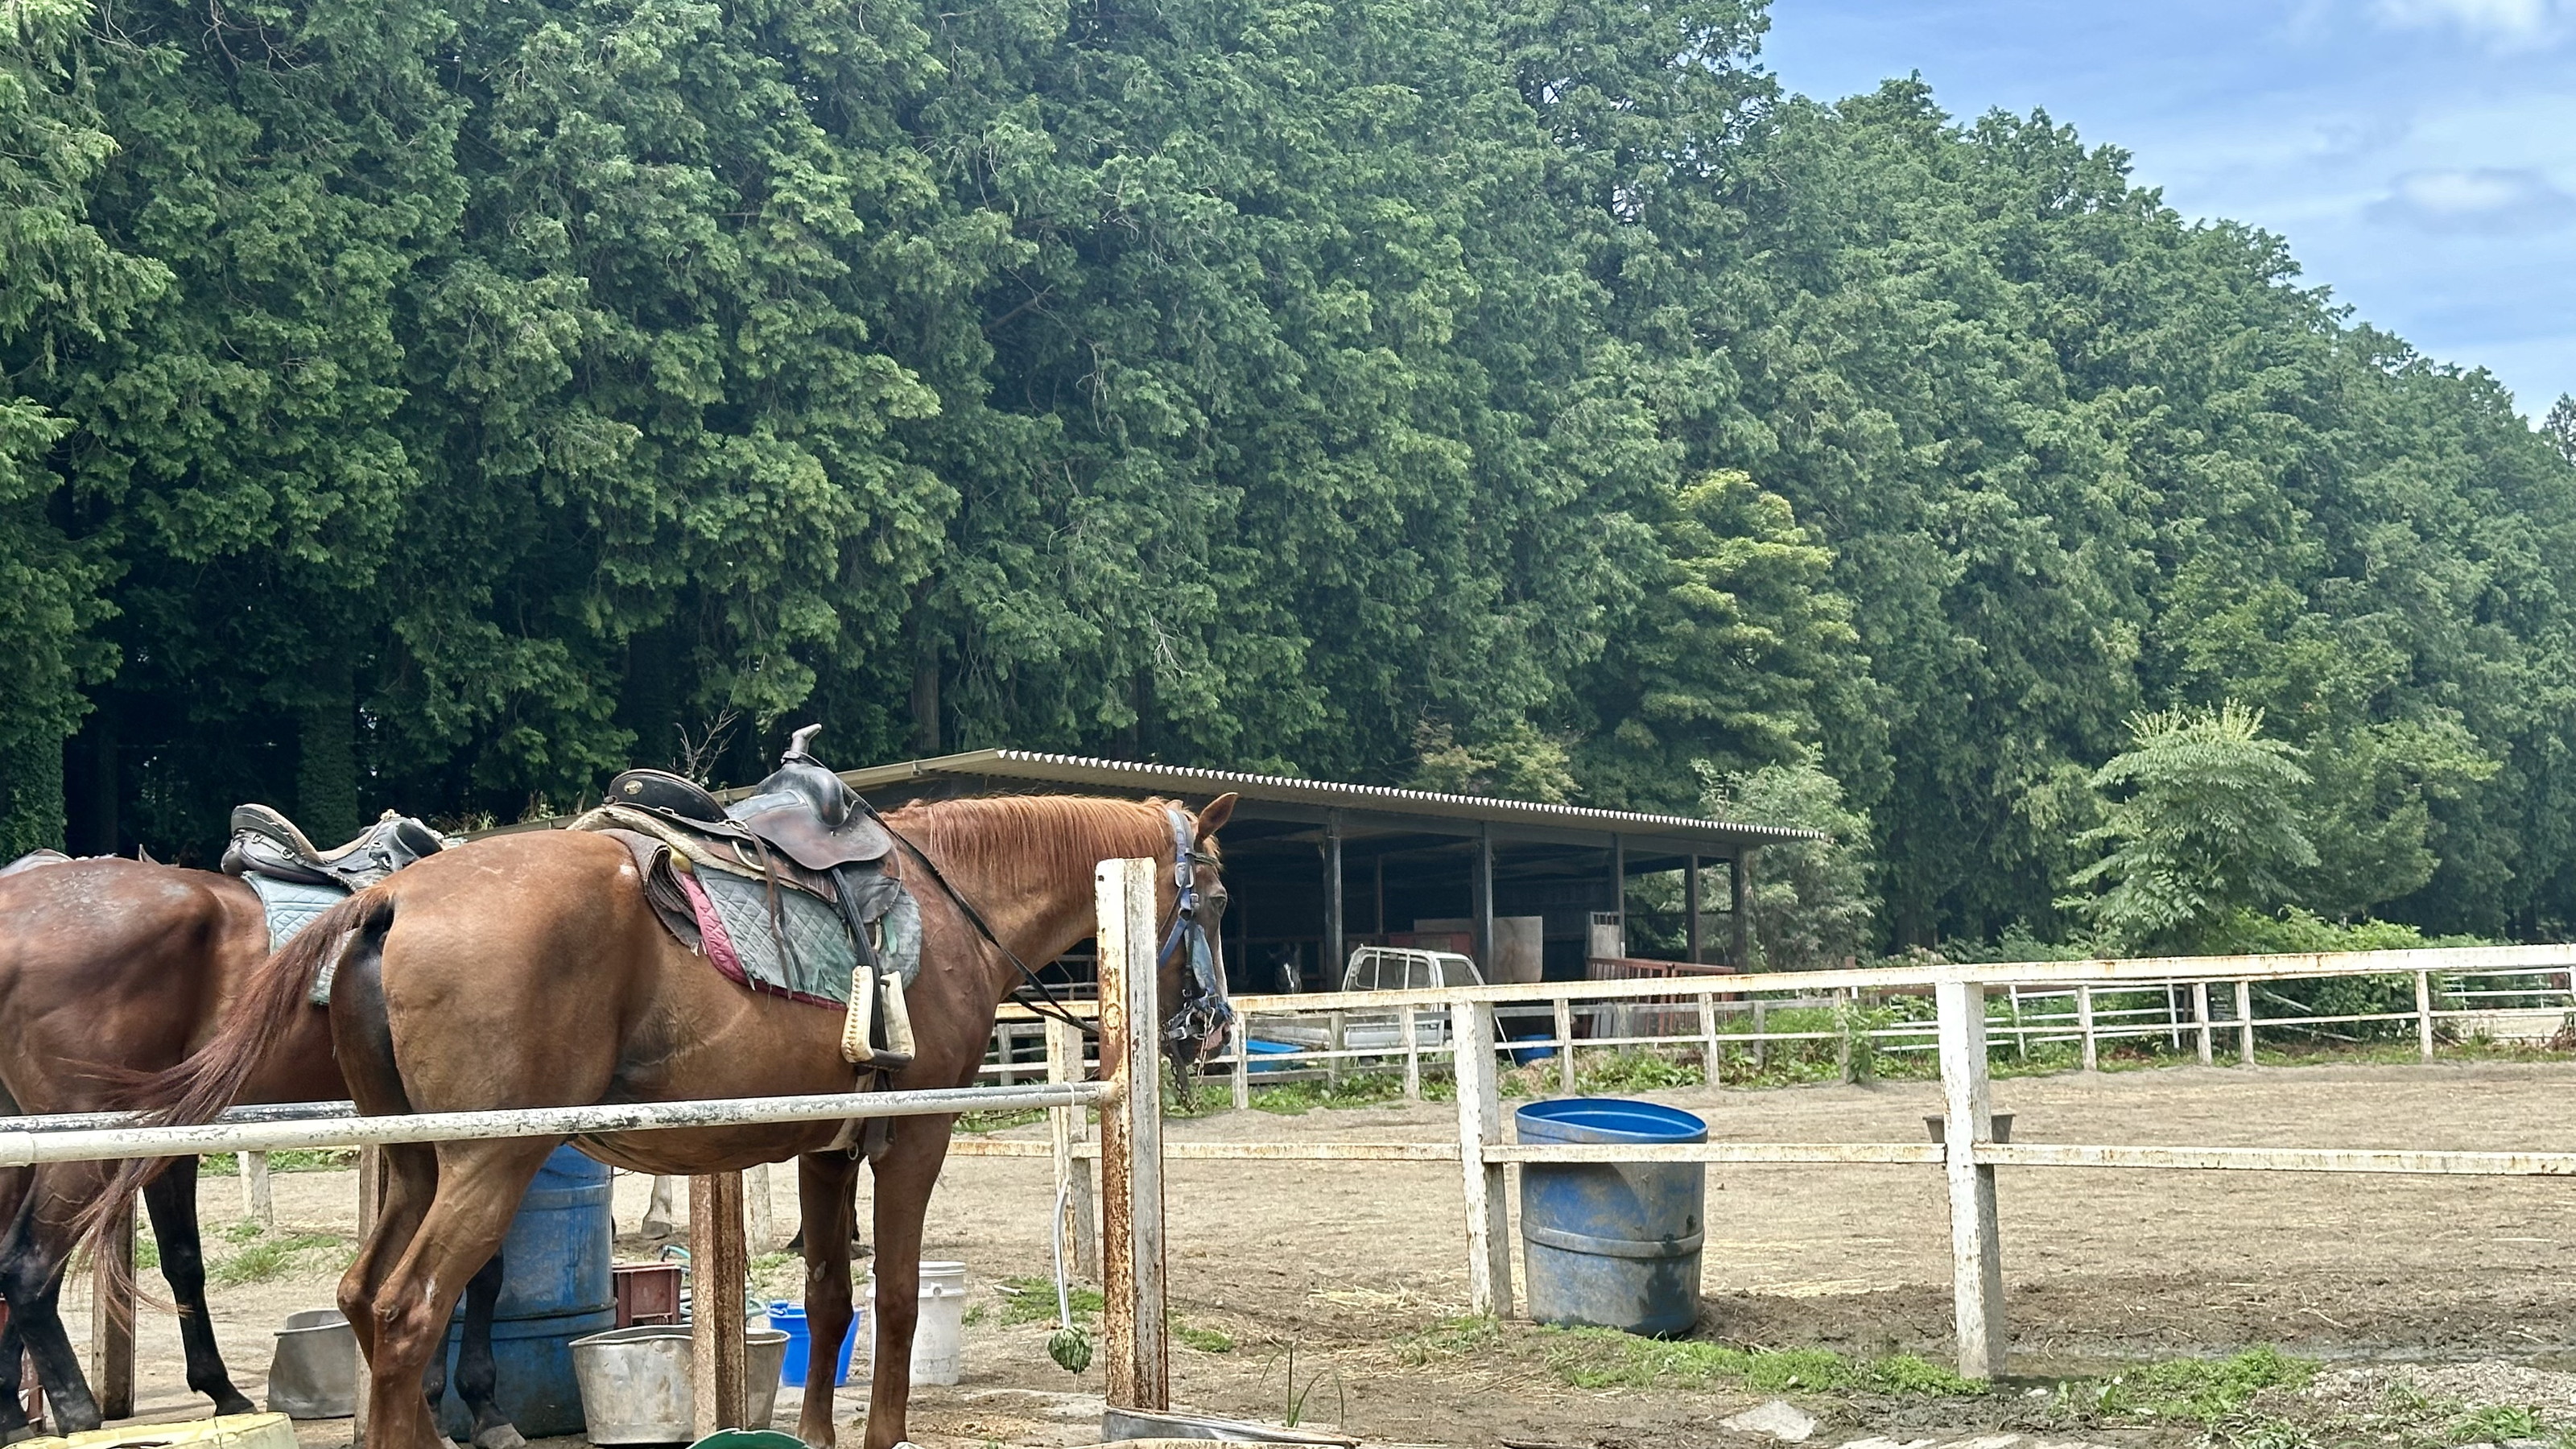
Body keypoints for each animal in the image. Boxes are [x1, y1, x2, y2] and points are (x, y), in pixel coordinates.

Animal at [95, 732, 1231, 1443]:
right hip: (490, 1158)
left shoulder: (826, 1149)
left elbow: (830, 1301)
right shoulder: (912, 1138)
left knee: (366, 1302)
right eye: (1216, 900)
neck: (950, 906)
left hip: (417, 1156)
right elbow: (898, 1304)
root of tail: (387, 900)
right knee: (412, 1311)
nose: (1213, 1030)